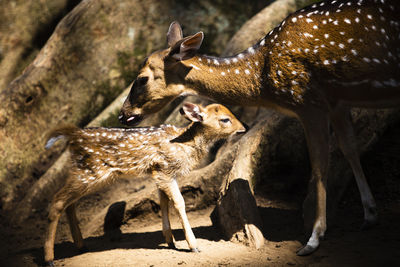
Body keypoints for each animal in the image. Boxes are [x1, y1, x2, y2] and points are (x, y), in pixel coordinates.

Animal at [43, 103, 244, 267]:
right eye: (225, 119)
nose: (244, 128)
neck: (186, 144)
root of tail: (73, 135)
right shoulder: (165, 170)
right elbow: (179, 202)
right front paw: (193, 245)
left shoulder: (159, 171)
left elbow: (164, 202)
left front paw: (170, 240)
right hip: (90, 172)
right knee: (57, 201)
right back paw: (49, 259)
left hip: (87, 174)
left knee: (69, 204)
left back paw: (80, 245)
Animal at [118, 0, 400, 256]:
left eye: (141, 79)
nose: (122, 115)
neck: (262, 77)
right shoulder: (338, 102)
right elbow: (350, 149)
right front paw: (370, 215)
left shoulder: (308, 101)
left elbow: (319, 165)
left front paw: (313, 239)